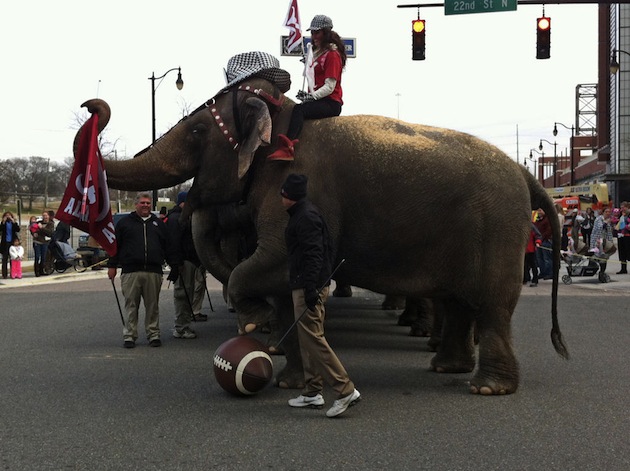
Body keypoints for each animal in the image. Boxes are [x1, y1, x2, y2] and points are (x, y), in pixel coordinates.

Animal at [78, 76, 568, 394]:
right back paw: (445, 368)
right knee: (461, 302)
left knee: (492, 305)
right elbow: (280, 280)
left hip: (498, 229)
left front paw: (254, 323)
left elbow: (271, 263)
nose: (90, 107)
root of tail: (526, 175)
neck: (282, 117)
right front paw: (285, 376)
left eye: (198, 130)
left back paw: (487, 388)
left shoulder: (301, 183)